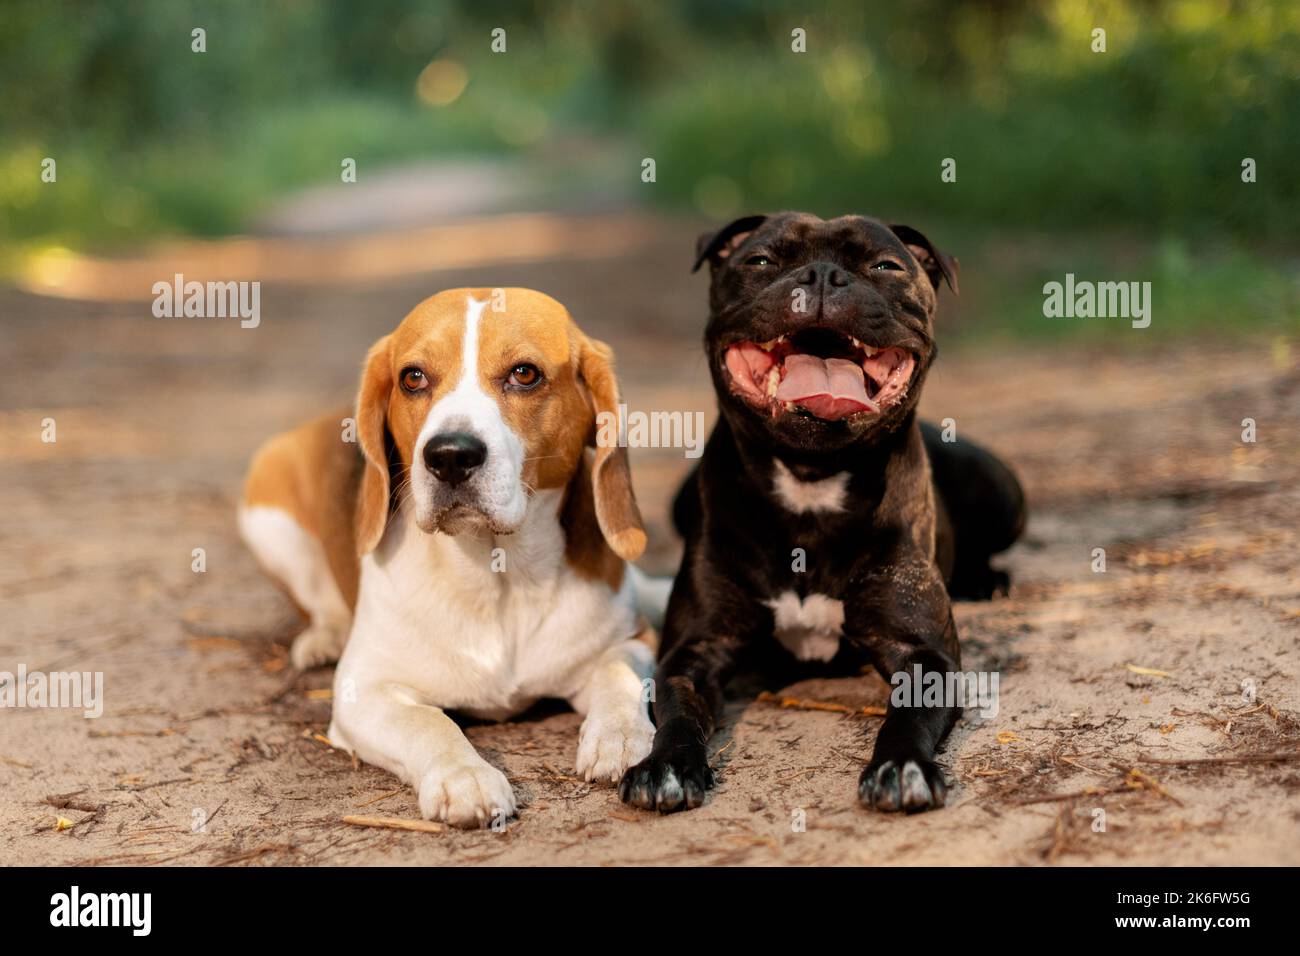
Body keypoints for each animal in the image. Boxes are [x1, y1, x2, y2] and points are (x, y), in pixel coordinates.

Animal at [240, 287, 665, 827]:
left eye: (524, 373)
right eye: (413, 377)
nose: (450, 455)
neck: (496, 575)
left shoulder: (631, 640)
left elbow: (618, 674)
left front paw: (620, 736)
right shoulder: (364, 689)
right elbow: (428, 721)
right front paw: (465, 778)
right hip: (267, 519)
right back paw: (324, 637)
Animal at [618, 214, 1024, 816]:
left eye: (886, 265)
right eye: (761, 260)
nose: (824, 276)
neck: (812, 479)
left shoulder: (923, 655)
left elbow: (907, 717)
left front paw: (901, 766)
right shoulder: (694, 651)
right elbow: (676, 713)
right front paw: (665, 765)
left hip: (1003, 493)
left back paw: (987, 580)